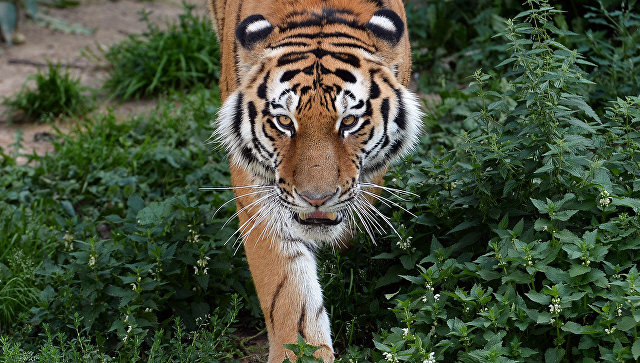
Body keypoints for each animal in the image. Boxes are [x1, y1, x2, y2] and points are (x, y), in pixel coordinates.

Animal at [208, 1, 422, 362]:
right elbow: (289, 291)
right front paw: (302, 352)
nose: (316, 199)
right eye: (284, 121)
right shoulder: (258, 190)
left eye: (349, 121)